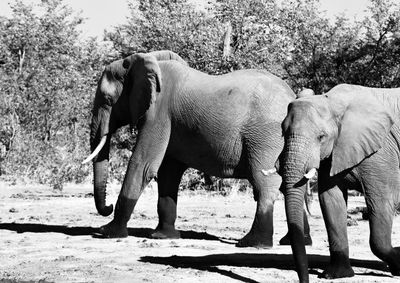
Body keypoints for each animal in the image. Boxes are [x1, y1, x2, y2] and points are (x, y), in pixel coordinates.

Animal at [83, 49, 312, 248]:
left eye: (107, 100)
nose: (108, 207)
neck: (146, 61)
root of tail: (293, 95)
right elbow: (168, 173)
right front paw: (163, 236)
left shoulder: (159, 112)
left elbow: (144, 165)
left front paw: (107, 232)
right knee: (287, 182)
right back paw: (294, 241)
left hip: (265, 137)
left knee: (265, 182)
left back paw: (254, 243)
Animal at [276, 83, 400, 282]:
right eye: (282, 132)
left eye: (321, 136)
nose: (304, 280)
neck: (334, 103)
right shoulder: (333, 152)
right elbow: (331, 201)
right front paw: (336, 275)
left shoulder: (381, 152)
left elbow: (381, 201)